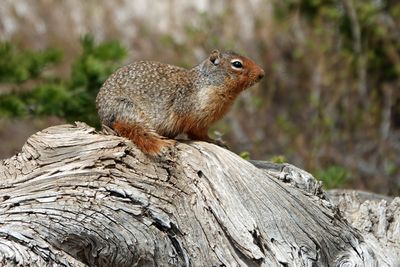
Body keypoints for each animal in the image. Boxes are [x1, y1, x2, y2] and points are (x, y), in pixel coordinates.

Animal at [96, 50, 264, 155]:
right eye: (237, 64)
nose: (262, 74)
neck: (207, 83)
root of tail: (104, 118)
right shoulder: (195, 115)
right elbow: (198, 133)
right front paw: (214, 141)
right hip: (126, 108)